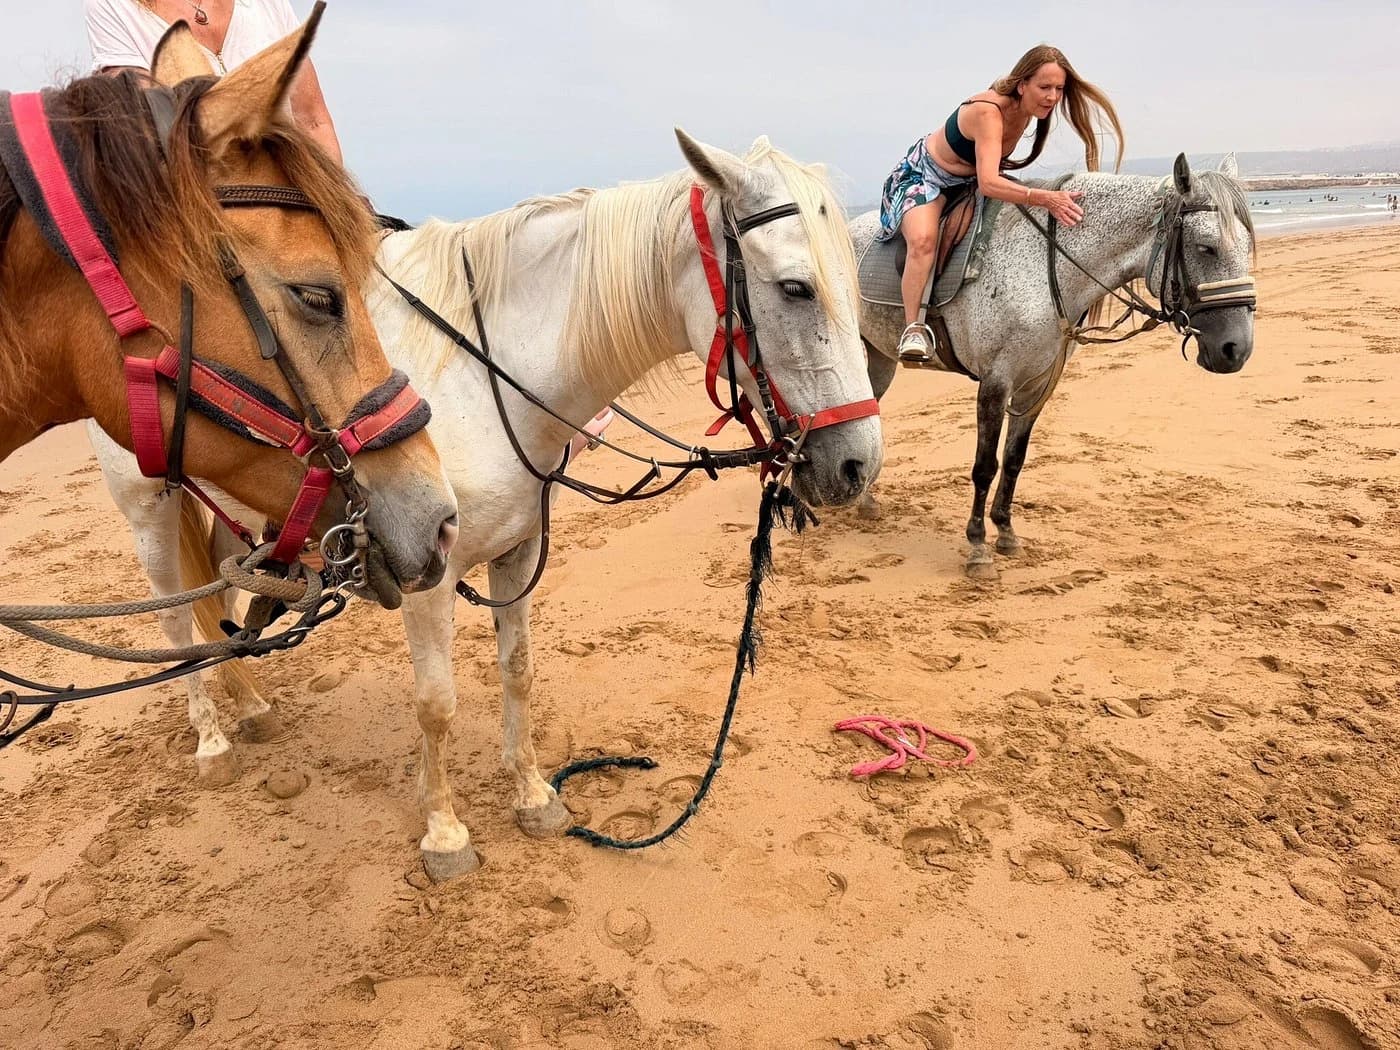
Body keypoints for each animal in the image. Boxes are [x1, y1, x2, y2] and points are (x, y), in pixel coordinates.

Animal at [91, 131, 883, 873]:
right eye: (795, 289)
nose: (857, 463)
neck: (485, 373)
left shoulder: (519, 551)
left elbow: (519, 671)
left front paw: (533, 797)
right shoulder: (425, 574)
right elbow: (436, 705)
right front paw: (445, 835)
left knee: (223, 603)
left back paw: (252, 705)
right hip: (151, 510)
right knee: (176, 623)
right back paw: (213, 740)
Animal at [851, 154, 1257, 579]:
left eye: (1248, 246)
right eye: (1206, 248)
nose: (1236, 349)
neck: (1045, 266)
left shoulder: (1037, 384)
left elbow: (1014, 460)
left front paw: (1006, 532)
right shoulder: (995, 382)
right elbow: (985, 466)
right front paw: (978, 548)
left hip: (880, 358)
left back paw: (864, 498)